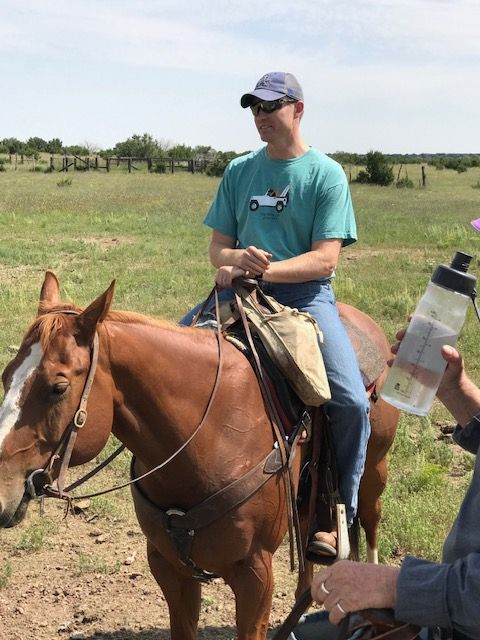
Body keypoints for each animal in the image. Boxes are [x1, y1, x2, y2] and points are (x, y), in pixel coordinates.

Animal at [0, 271, 399, 640]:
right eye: (6, 376)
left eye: (58, 387)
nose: (2, 495)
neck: (211, 436)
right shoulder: (168, 565)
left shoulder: (255, 574)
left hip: (374, 468)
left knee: (369, 519)